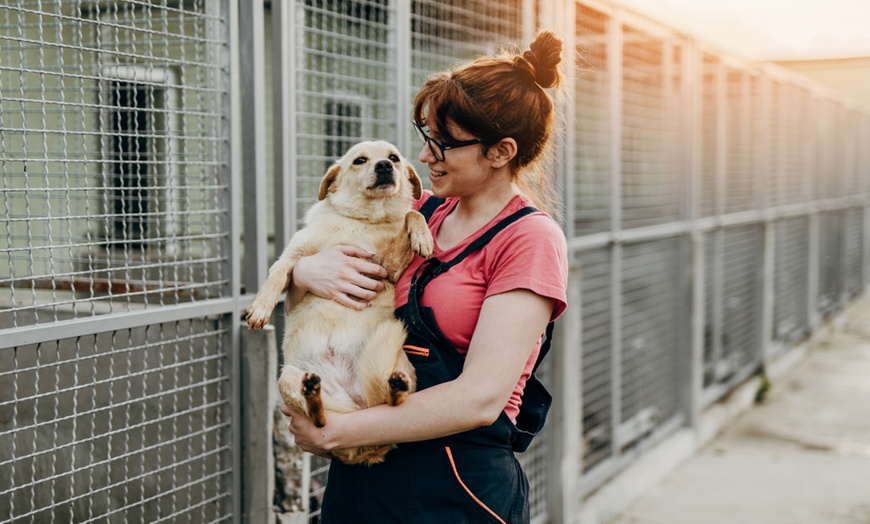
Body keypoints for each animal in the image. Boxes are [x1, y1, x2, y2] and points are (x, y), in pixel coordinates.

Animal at [245, 139, 436, 462]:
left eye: (394, 158)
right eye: (360, 160)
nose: (384, 165)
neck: (362, 221)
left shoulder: (390, 266)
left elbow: (412, 215)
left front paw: (422, 236)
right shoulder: (295, 256)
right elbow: (277, 273)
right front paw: (260, 308)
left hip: (400, 364)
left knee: (392, 404)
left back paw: (394, 389)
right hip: (286, 378)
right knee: (320, 420)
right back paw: (313, 396)